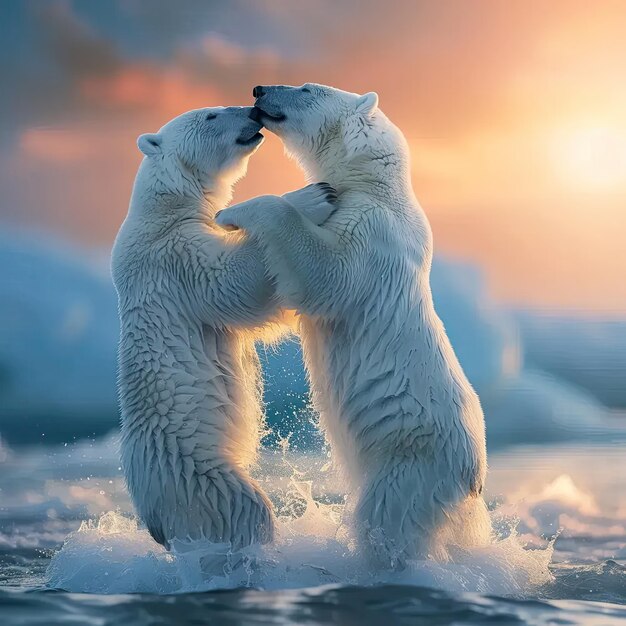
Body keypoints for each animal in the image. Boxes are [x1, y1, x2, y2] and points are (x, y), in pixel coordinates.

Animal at [112, 106, 336, 544]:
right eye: (212, 114)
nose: (252, 111)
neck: (162, 205)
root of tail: (153, 520)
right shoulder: (171, 256)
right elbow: (230, 283)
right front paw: (315, 196)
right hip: (193, 470)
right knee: (242, 509)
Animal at [217, 84, 490, 564]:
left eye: (307, 88)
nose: (259, 89)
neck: (377, 185)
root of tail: (472, 480)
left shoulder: (372, 229)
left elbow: (326, 273)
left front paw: (236, 211)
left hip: (410, 462)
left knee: (387, 518)